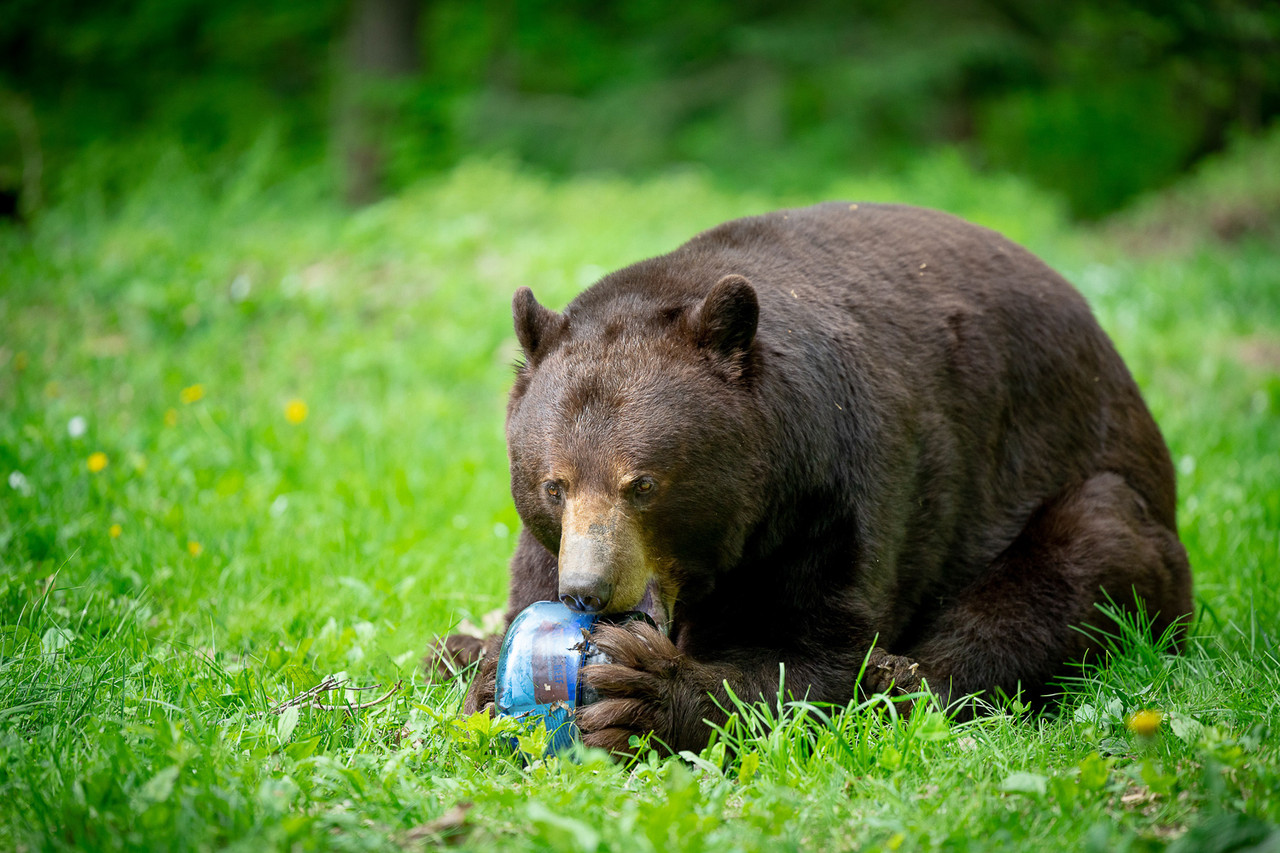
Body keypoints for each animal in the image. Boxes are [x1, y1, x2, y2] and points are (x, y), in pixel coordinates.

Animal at [436, 201, 1193, 756]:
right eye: (553, 485)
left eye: (643, 484)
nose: (586, 590)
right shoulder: (550, 539)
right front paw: (482, 667)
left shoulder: (835, 495)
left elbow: (814, 653)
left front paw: (643, 693)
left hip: (1080, 478)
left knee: (1076, 560)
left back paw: (907, 676)